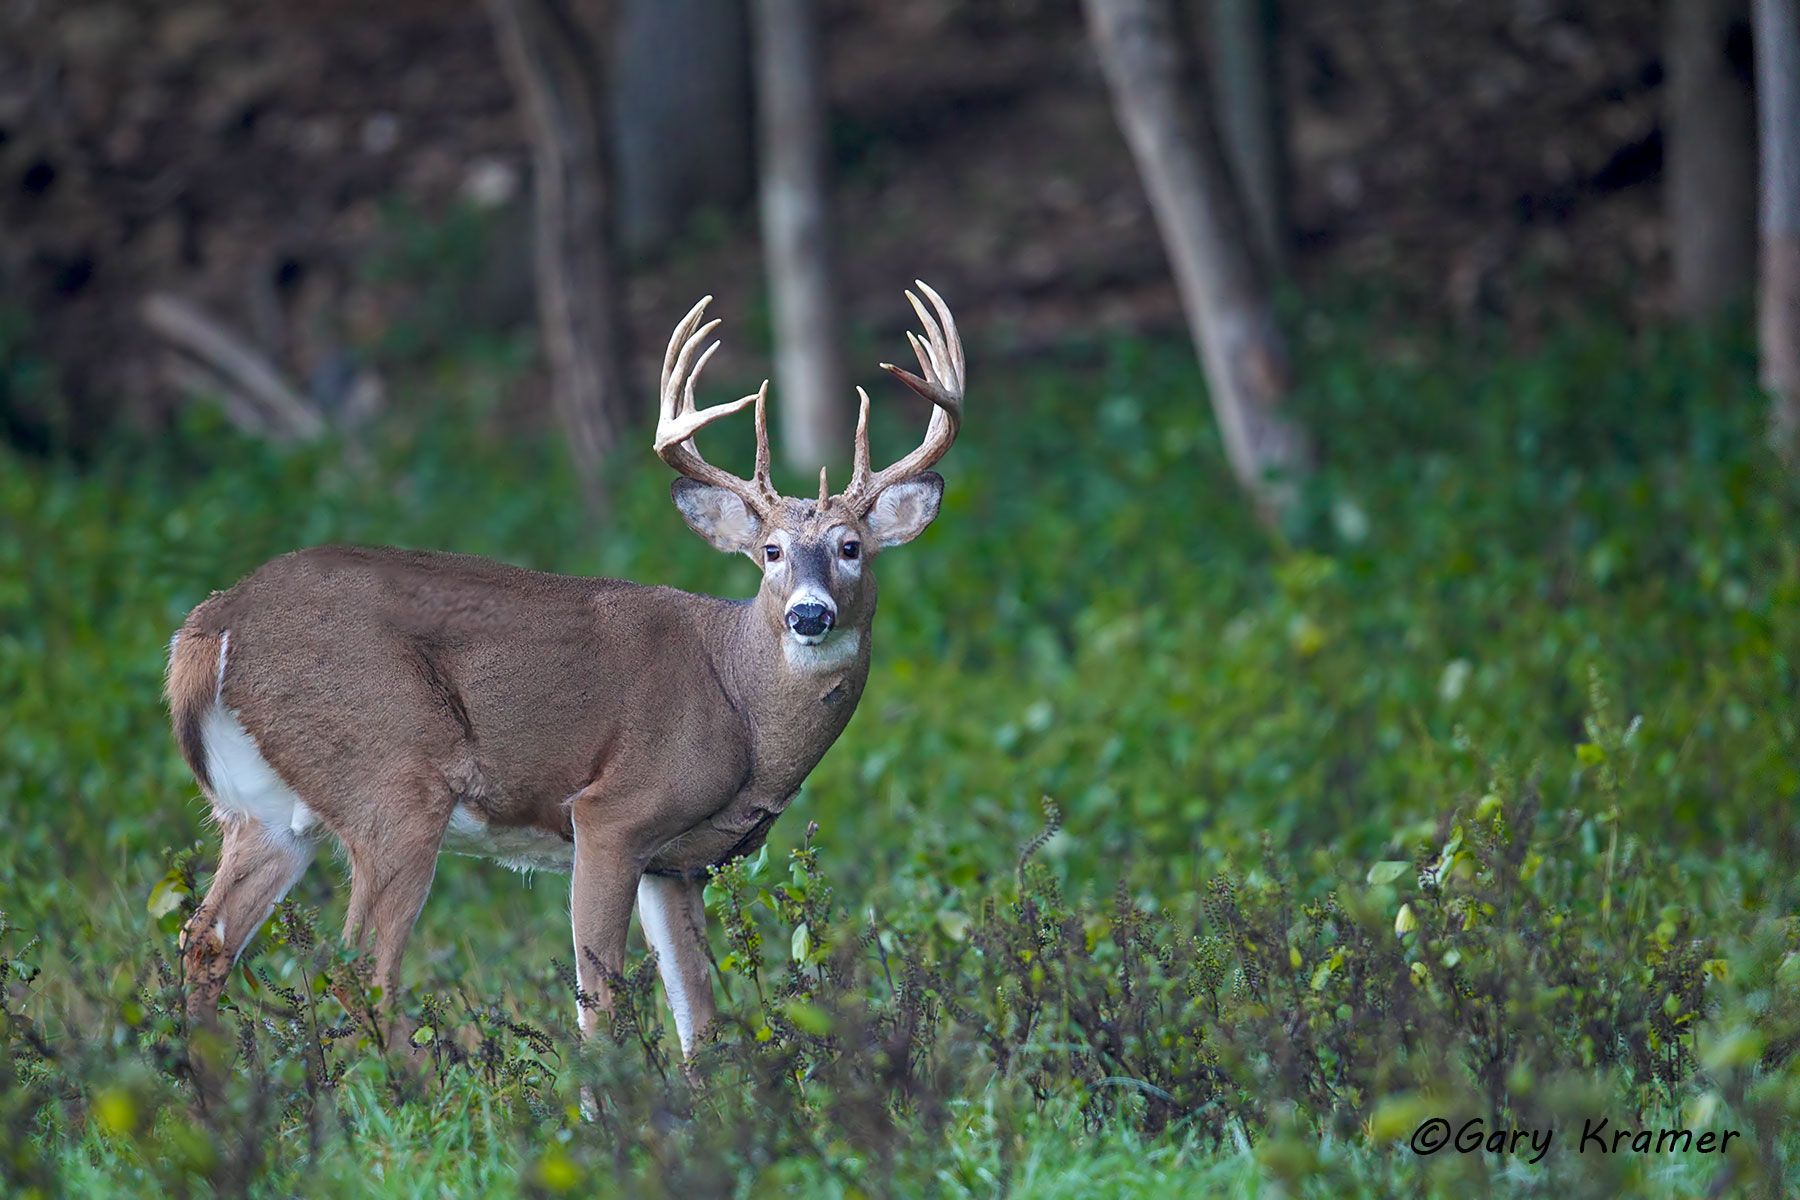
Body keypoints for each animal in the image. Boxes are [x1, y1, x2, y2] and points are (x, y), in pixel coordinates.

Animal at [165, 283, 963, 1062]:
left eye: (851, 547)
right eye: (770, 551)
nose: (808, 614)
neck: (743, 709)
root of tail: (214, 622)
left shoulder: (677, 865)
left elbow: (699, 1023)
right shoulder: (614, 811)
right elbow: (599, 1005)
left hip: (264, 810)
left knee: (204, 941)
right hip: (390, 780)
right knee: (361, 966)